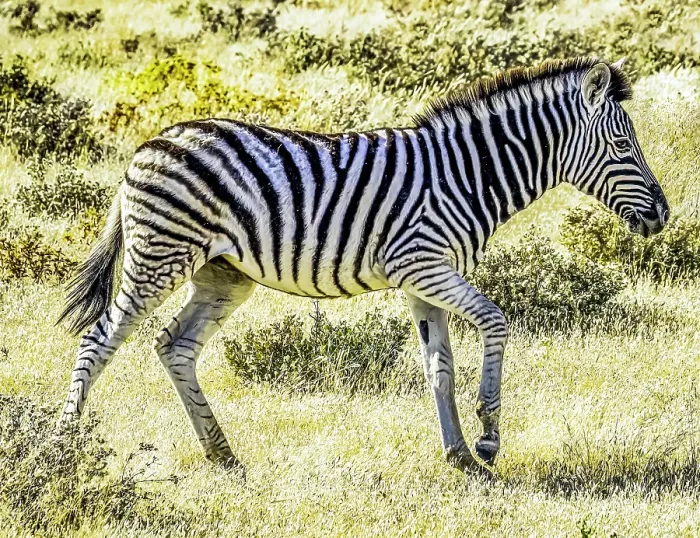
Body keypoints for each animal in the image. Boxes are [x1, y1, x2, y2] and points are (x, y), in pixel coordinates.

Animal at [57, 56, 669, 476]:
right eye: (622, 146)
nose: (662, 215)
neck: (468, 173)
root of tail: (150, 142)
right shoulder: (421, 265)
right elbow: (495, 321)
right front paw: (489, 437)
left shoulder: (423, 281)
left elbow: (439, 367)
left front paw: (458, 455)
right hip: (159, 256)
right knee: (98, 340)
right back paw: (60, 449)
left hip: (223, 275)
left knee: (174, 347)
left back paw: (222, 453)